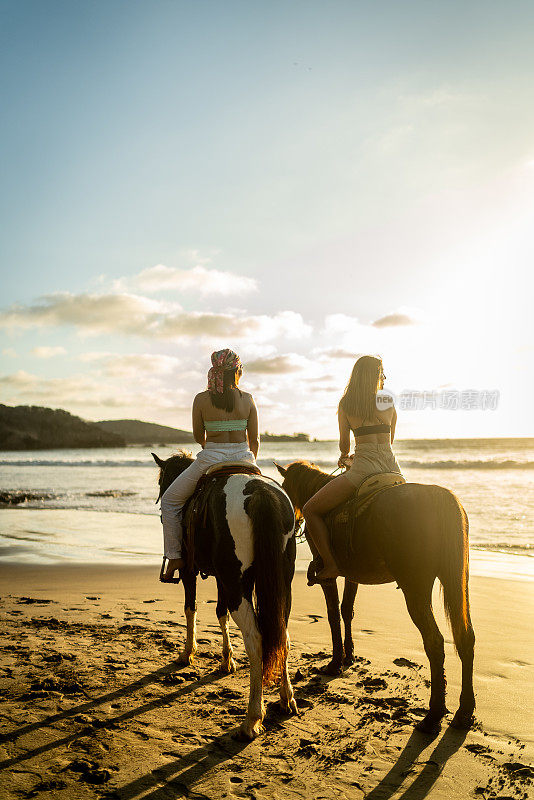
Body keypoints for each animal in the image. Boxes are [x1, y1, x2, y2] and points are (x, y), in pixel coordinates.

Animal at [153, 454, 300, 740]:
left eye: (161, 480)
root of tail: (260, 493)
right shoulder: (222, 578)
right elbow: (221, 614)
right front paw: (226, 659)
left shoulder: (190, 570)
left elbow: (191, 608)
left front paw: (188, 653)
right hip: (280, 583)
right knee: (282, 635)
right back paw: (286, 698)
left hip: (236, 584)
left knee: (256, 640)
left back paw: (252, 718)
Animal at [276, 460, 478, 736]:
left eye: (285, 489)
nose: (292, 524)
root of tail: (439, 498)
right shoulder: (351, 575)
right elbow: (346, 610)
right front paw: (348, 655)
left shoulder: (328, 576)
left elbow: (332, 614)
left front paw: (335, 661)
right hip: (456, 580)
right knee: (465, 638)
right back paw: (463, 712)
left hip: (415, 589)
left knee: (435, 643)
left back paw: (433, 715)